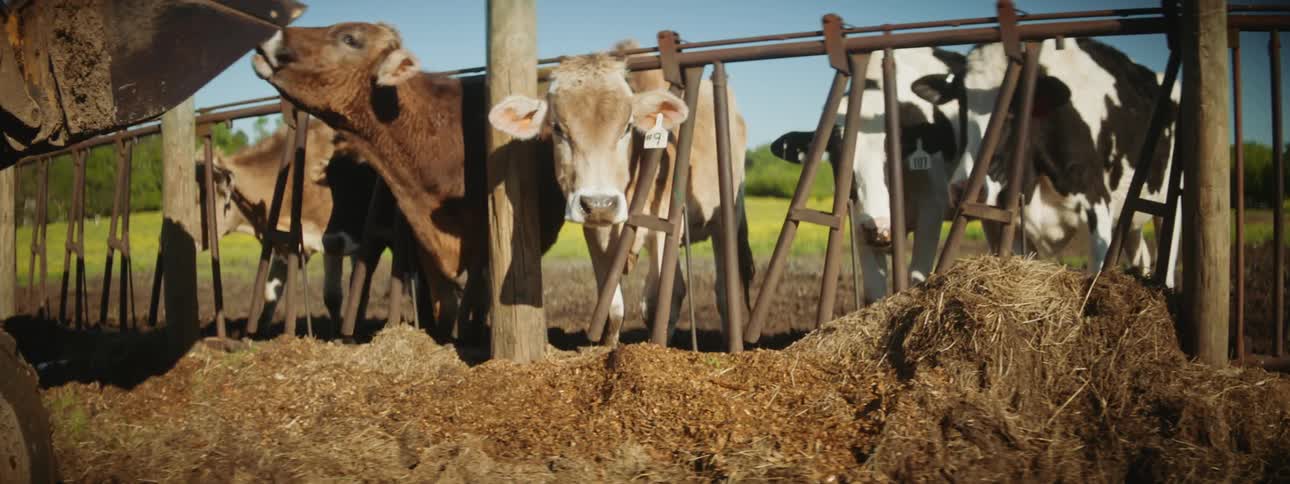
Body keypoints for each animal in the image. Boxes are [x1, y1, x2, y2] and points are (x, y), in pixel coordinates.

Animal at [250, 22, 566, 334]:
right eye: (333, 183)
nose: (271, 38)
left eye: (350, 38)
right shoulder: (423, 241)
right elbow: (444, 305)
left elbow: (477, 300)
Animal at [488, 41, 755, 345]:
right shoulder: (594, 233)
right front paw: (608, 346)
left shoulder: (664, 227)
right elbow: (611, 304)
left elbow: (660, 300)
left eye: (628, 127)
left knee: (722, 291)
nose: (599, 204)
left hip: (726, 218)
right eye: (557, 128)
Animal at [769, 47, 968, 304]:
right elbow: (874, 291)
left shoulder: (931, 208)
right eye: (837, 157)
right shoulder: (859, 222)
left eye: (897, 152)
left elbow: (917, 277)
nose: (878, 227)